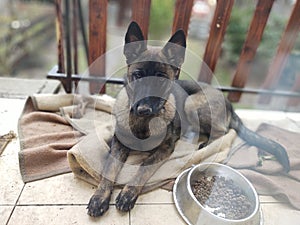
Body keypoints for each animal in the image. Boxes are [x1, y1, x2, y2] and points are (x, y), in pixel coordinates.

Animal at [87, 21, 290, 216]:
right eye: (137, 75)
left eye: (161, 79)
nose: (143, 110)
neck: (144, 124)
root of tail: (227, 101)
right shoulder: (118, 144)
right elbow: (109, 170)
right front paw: (99, 197)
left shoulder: (165, 148)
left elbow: (144, 167)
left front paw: (128, 193)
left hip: (191, 103)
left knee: (223, 131)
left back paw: (205, 143)